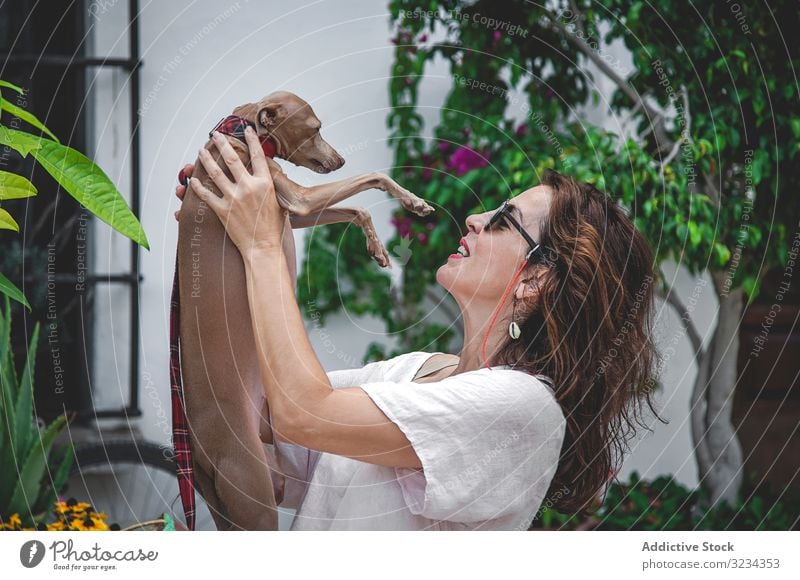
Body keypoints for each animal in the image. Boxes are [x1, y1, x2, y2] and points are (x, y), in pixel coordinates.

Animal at [177, 89, 438, 532]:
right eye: (315, 128)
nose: (341, 160)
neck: (241, 132)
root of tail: (200, 458)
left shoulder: (291, 210)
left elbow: (358, 209)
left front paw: (378, 247)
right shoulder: (295, 200)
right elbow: (373, 178)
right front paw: (413, 200)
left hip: (252, 491)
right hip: (253, 496)